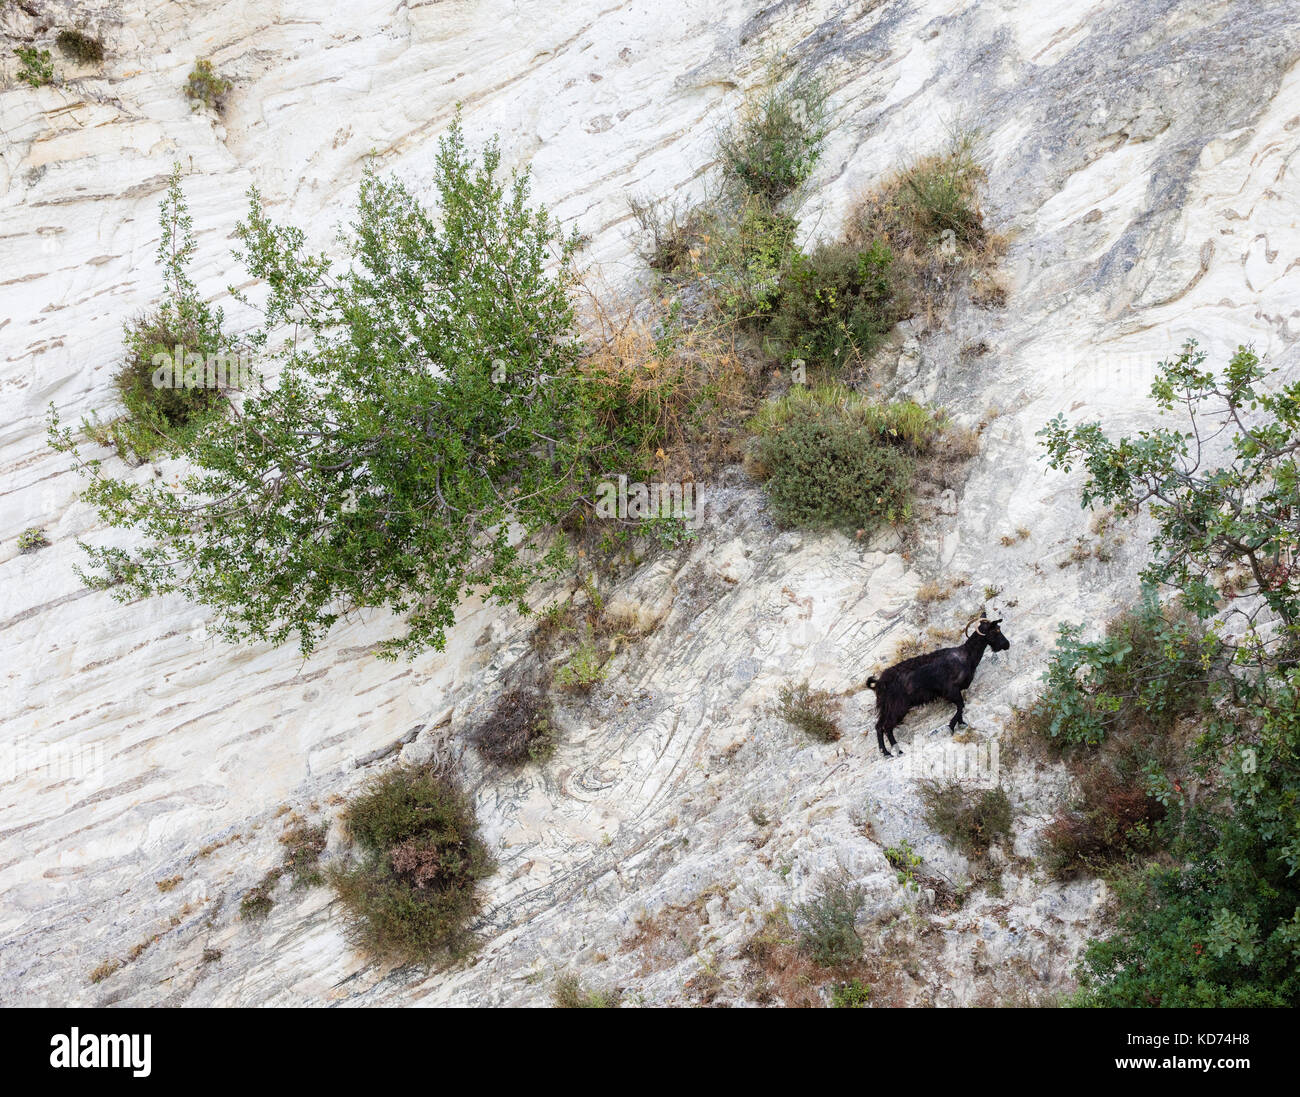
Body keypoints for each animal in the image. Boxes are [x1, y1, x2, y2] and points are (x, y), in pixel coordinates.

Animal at [865, 618, 1011, 757]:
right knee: (887, 727)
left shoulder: (955, 691)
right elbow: (960, 706)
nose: (1007, 644)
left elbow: (961, 707)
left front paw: (961, 724)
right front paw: (951, 726)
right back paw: (894, 752)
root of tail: (879, 683)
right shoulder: (950, 690)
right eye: (995, 630)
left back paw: (888, 752)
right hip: (897, 707)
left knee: (879, 727)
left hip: (887, 708)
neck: (966, 655)